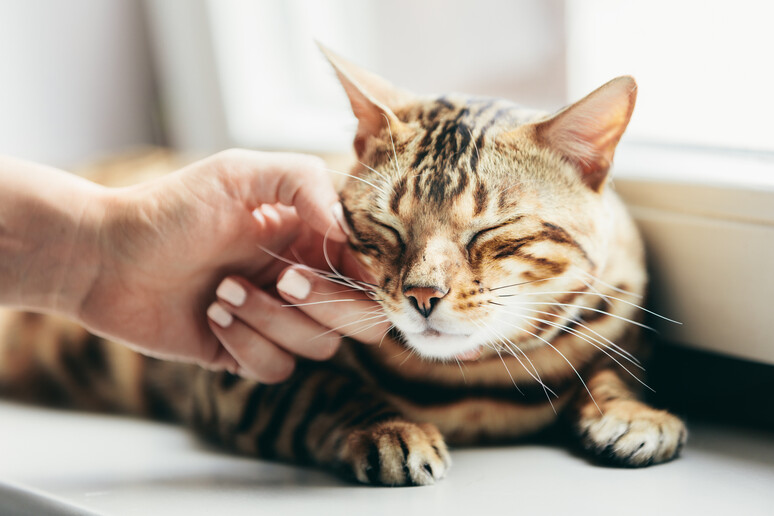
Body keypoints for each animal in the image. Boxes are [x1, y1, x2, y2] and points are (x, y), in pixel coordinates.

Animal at [0, 46, 688, 486]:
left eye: (490, 232)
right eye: (386, 226)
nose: (422, 295)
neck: (471, 385)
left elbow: (611, 370)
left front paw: (635, 413)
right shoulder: (237, 378)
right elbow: (323, 390)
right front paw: (389, 428)